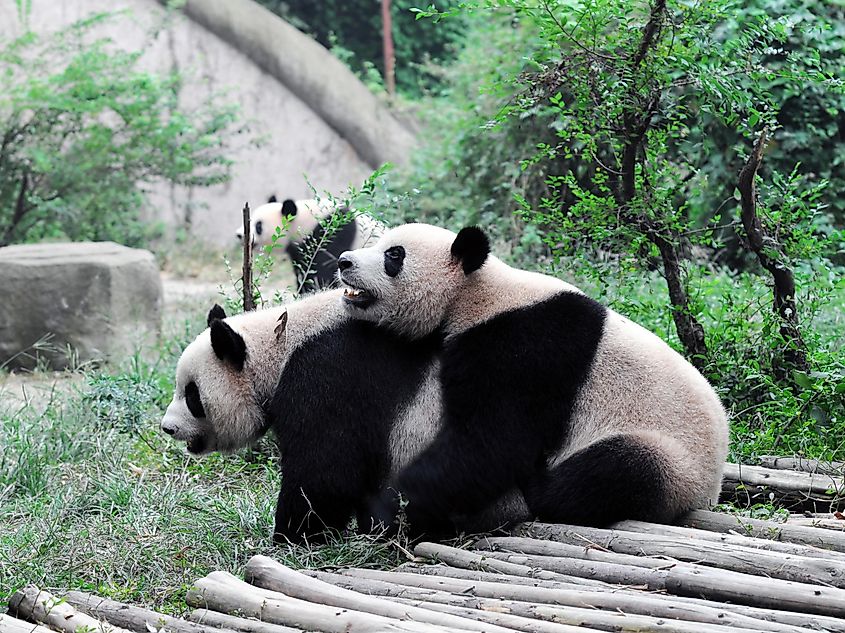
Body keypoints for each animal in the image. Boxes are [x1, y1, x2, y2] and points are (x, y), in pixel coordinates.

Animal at [158, 288, 528, 540]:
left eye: (192, 395)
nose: (168, 428)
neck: (280, 341)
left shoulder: (327, 374)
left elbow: (326, 470)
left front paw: (293, 534)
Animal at [334, 225, 724, 536]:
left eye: (393, 255)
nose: (344, 261)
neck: (477, 294)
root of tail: (710, 492)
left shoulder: (524, 349)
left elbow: (491, 443)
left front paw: (382, 512)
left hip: (669, 455)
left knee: (612, 472)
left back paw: (539, 484)